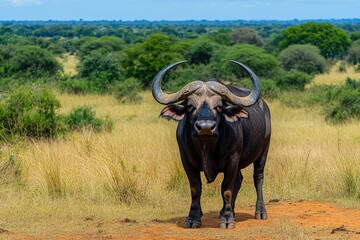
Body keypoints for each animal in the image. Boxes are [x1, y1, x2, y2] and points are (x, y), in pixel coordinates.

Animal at [151, 60, 270, 229]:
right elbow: (195, 189)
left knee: (257, 177)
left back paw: (259, 211)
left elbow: (226, 188)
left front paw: (227, 219)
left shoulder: (233, 159)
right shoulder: (186, 160)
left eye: (219, 106)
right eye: (190, 106)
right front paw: (193, 218)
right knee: (239, 180)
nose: (205, 127)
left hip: (263, 151)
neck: (206, 146)